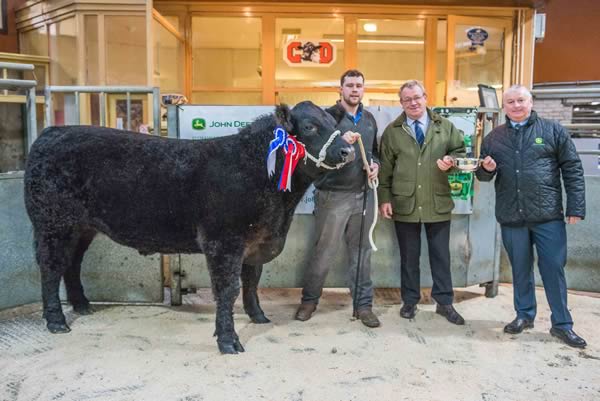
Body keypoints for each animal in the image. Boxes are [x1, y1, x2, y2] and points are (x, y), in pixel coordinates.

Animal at [24, 101, 355, 354]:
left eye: (332, 123)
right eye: (310, 127)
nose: (347, 151)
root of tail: (51, 133)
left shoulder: (255, 242)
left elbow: (251, 282)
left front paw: (258, 316)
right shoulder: (223, 241)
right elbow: (228, 289)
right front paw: (228, 340)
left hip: (81, 227)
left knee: (72, 264)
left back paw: (82, 305)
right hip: (52, 223)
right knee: (51, 267)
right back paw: (56, 321)